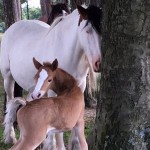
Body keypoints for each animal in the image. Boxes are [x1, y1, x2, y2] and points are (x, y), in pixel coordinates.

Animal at [0, 4, 102, 150]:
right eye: (87, 31)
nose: (98, 63)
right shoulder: (54, 91)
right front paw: (53, 145)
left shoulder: (79, 86)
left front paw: (73, 143)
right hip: (8, 78)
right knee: (10, 103)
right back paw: (10, 137)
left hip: (34, 89)